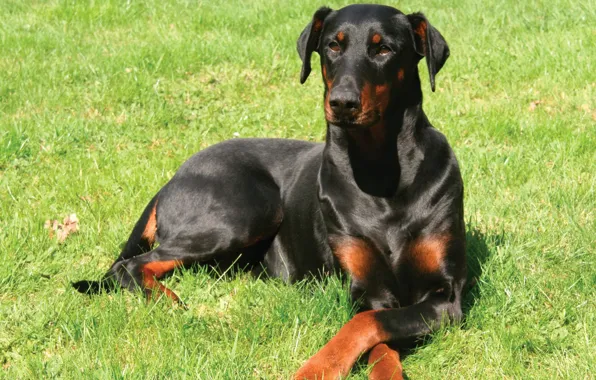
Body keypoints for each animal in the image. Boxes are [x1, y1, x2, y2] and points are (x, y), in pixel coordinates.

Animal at [73, 3, 466, 380]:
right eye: (333, 46)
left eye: (384, 48)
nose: (342, 102)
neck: (379, 170)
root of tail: (172, 178)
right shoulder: (366, 291)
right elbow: (365, 323)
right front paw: (318, 368)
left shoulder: (447, 296)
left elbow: (373, 330)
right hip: (247, 212)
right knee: (129, 265)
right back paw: (170, 303)